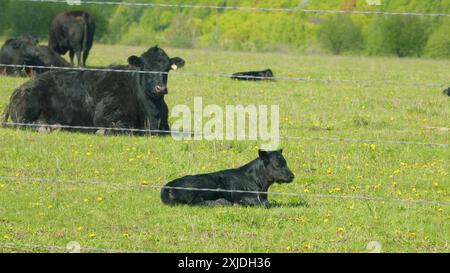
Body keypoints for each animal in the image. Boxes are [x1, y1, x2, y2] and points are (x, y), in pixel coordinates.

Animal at [1, 45, 185, 133]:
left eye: (167, 68)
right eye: (145, 67)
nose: (160, 88)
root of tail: (19, 90)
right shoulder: (104, 116)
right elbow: (125, 129)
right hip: (26, 109)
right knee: (23, 124)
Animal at [161, 149, 296, 206]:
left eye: (286, 162)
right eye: (277, 165)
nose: (292, 176)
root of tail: (170, 184)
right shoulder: (243, 196)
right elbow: (265, 204)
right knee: (196, 202)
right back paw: (221, 202)